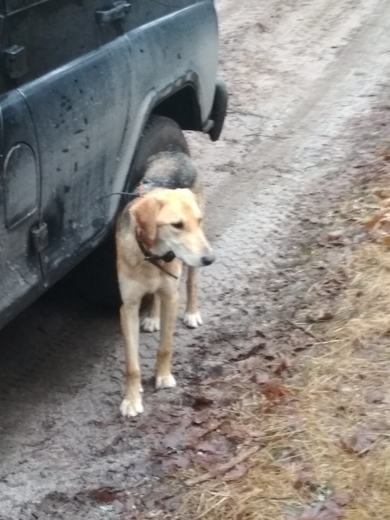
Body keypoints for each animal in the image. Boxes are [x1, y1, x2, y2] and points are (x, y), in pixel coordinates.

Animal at [116, 148, 215, 416]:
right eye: (176, 225)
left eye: (197, 221)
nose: (210, 258)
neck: (153, 257)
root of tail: (175, 153)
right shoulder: (128, 307)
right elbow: (131, 364)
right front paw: (132, 399)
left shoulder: (172, 296)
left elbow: (165, 346)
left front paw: (163, 377)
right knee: (154, 297)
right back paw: (152, 317)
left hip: (190, 268)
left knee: (191, 283)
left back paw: (192, 312)